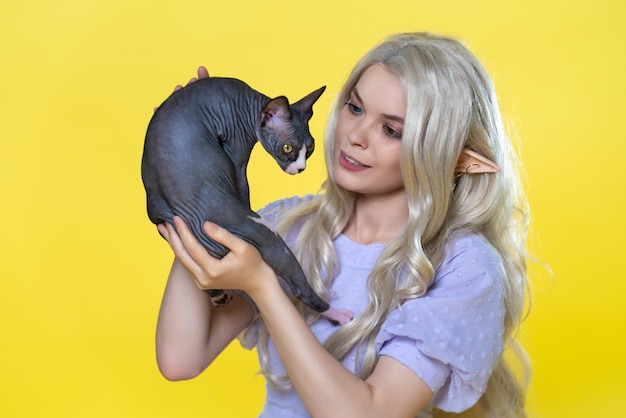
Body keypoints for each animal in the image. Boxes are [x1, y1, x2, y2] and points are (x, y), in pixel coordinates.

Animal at [142, 78, 354, 326]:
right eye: (288, 148)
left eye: (309, 148)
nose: (300, 168)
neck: (247, 101)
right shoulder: (236, 157)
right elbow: (243, 188)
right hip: (266, 233)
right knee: (300, 289)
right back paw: (337, 314)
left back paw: (218, 296)